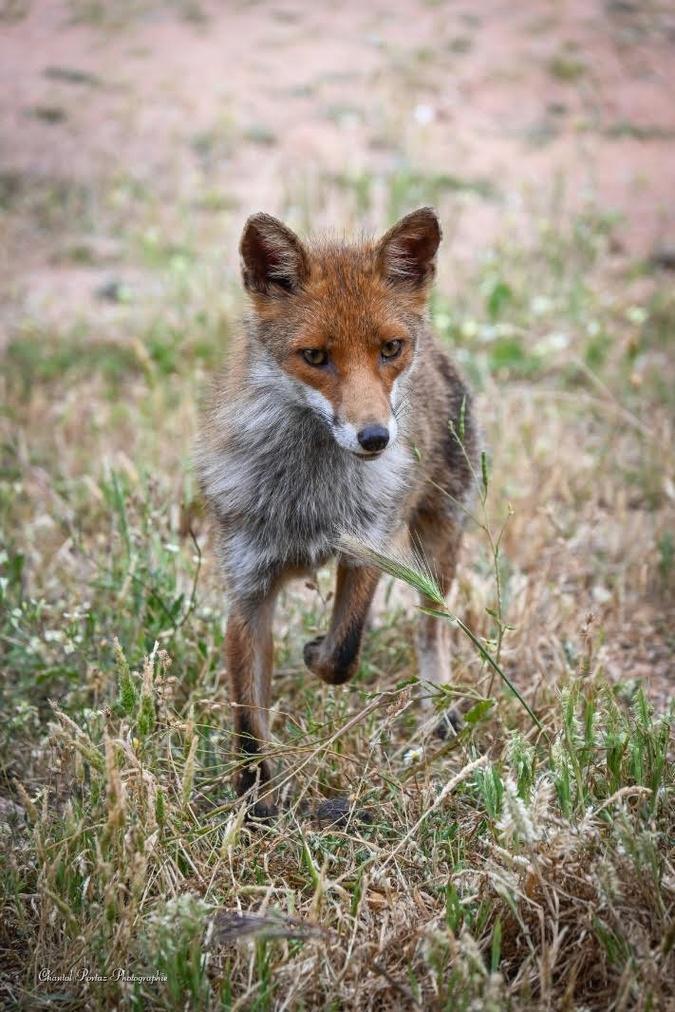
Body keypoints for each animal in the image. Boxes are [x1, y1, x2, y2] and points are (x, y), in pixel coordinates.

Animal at [198, 206, 478, 816]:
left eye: (389, 349)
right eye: (315, 356)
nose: (375, 438)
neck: (310, 499)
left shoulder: (369, 547)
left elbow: (343, 653)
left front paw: (314, 653)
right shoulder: (248, 591)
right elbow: (248, 724)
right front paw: (255, 807)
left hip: (438, 543)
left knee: (432, 628)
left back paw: (437, 710)